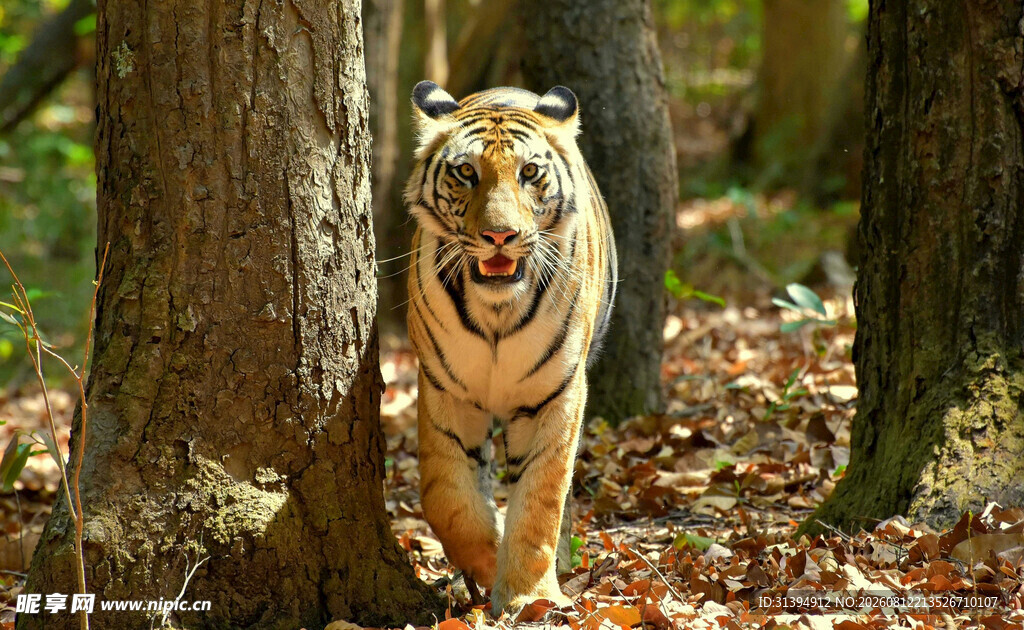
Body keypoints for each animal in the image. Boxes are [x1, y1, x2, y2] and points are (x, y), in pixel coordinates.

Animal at [403, 80, 617, 614]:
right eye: (466, 172)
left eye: (529, 172)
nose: (500, 235)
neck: (497, 312)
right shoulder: (446, 390)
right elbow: (447, 498)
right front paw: (485, 562)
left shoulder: (555, 394)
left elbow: (542, 500)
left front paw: (528, 596)